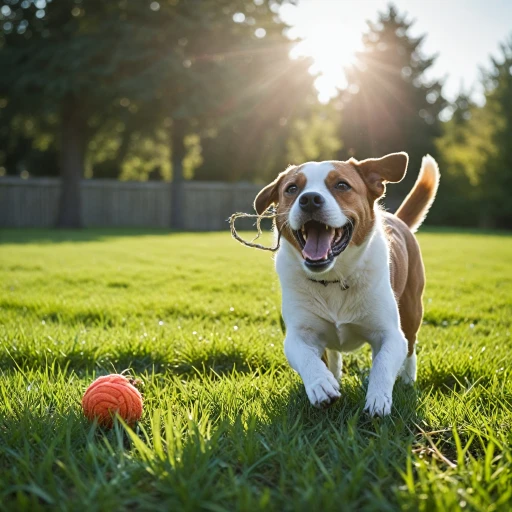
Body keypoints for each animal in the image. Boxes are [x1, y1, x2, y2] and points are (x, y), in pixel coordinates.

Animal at [254, 152, 438, 416]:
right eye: (292, 189)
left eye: (342, 185)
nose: (309, 199)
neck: (333, 277)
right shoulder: (299, 334)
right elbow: (306, 356)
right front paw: (321, 384)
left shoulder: (390, 334)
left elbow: (384, 362)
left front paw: (378, 399)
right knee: (332, 353)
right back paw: (333, 376)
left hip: (412, 308)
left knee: (411, 346)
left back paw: (407, 379)